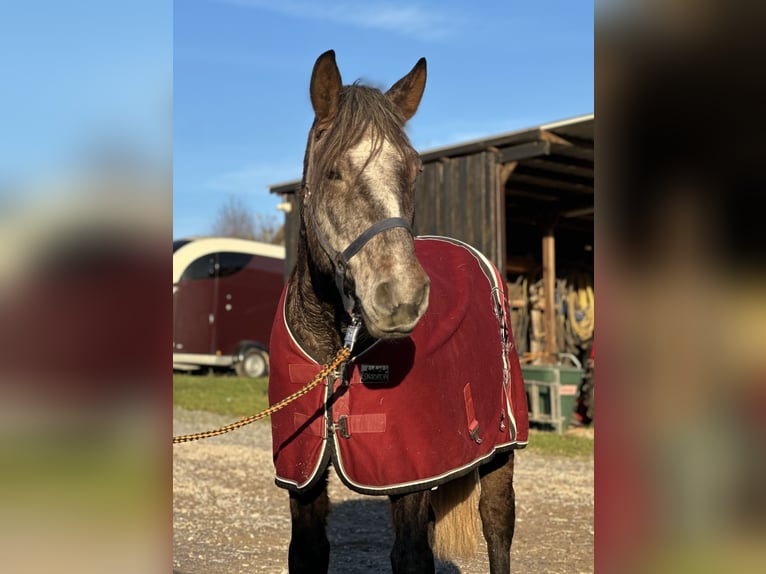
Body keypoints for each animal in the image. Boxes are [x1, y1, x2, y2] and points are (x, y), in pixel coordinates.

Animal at [268, 50, 528, 574]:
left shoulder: (406, 475)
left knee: (497, 526)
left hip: (501, 448)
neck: (337, 350)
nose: (400, 296)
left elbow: (411, 557)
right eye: (333, 172)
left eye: (414, 171)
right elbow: (308, 551)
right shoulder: (302, 477)